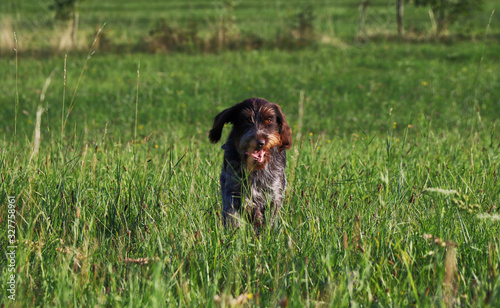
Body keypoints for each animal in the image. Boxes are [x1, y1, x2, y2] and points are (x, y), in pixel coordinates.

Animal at [208, 97, 292, 230]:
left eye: (269, 120)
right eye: (246, 120)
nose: (260, 142)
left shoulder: (275, 191)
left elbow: (271, 213)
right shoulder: (232, 189)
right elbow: (244, 202)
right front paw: (255, 215)